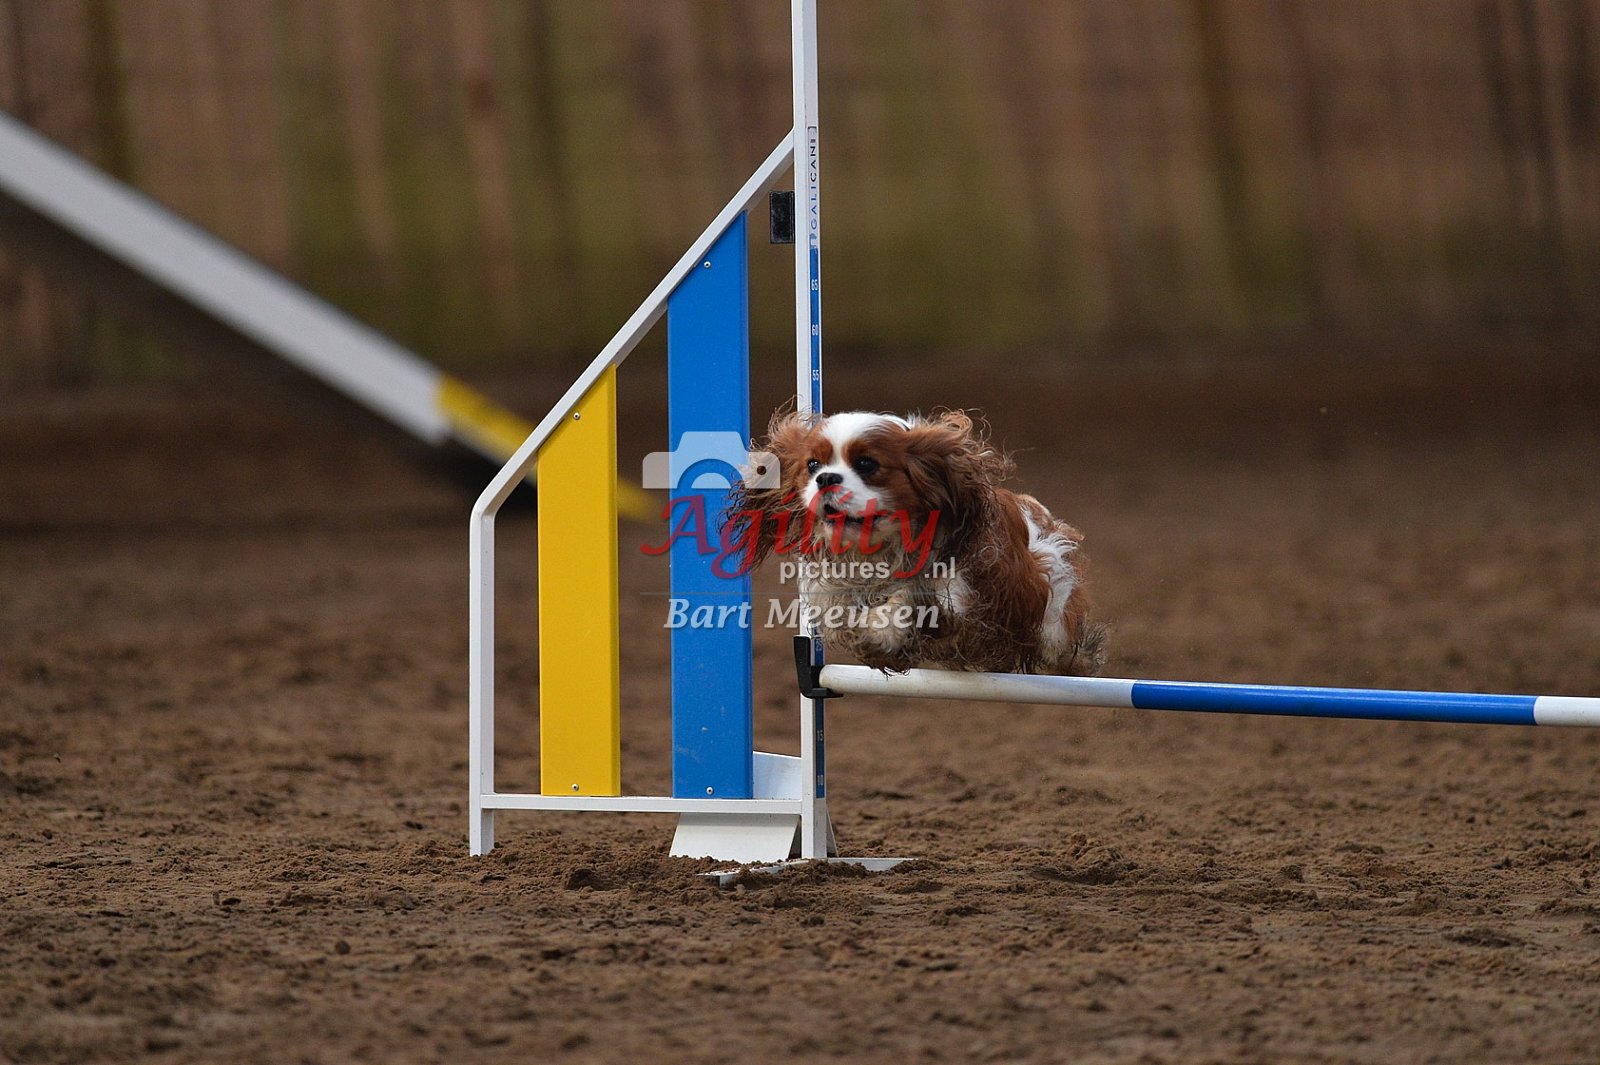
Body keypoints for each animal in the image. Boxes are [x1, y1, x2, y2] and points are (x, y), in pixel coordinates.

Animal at [730, 409, 1106, 676]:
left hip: (1052, 610)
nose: (825, 479)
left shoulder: (958, 592)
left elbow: (908, 598)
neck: (881, 550)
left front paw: (878, 628)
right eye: (812, 465)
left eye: (866, 463)